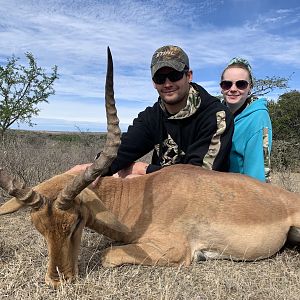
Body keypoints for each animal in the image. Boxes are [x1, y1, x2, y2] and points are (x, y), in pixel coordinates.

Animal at [0, 47, 300, 288]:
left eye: (74, 223)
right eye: (39, 228)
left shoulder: (177, 250)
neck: (140, 199)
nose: (57, 280)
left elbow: (107, 253)